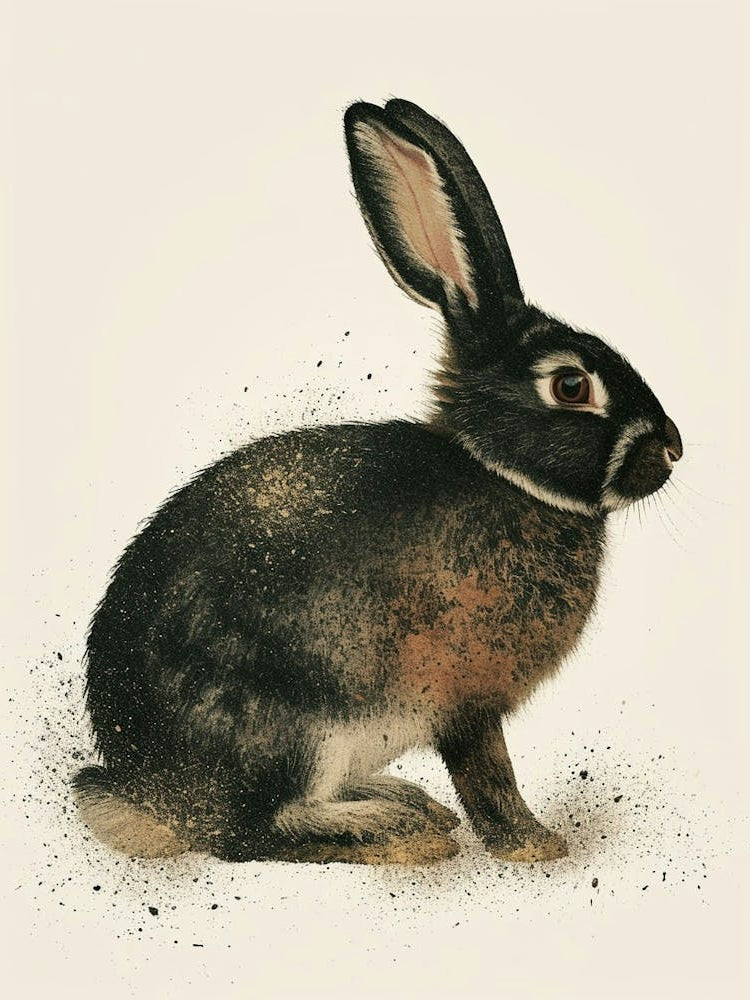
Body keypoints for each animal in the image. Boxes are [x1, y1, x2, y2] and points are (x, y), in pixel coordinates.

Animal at [73, 98, 682, 866]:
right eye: (571, 385)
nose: (673, 449)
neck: (501, 477)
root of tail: (145, 792)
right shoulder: (465, 701)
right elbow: (488, 776)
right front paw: (536, 848)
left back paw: (401, 802)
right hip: (292, 730)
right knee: (250, 833)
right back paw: (391, 830)